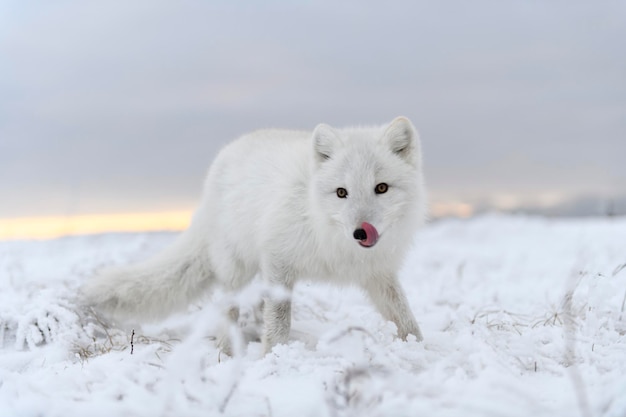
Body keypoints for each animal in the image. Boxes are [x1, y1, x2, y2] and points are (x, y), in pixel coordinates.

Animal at [84, 115, 424, 352]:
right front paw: (272, 356)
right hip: (237, 267)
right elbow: (279, 319)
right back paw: (226, 351)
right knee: (230, 307)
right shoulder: (279, 259)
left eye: (381, 188)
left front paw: (420, 349)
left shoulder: (377, 271)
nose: (360, 233)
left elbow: (404, 316)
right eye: (342, 192)